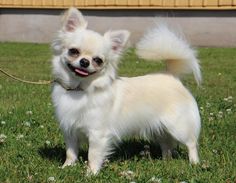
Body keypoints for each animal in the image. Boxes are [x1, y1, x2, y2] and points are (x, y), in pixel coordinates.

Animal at [51, 7, 201, 175]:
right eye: (73, 51)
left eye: (98, 60)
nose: (84, 62)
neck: (80, 89)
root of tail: (171, 76)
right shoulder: (69, 131)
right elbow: (71, 152)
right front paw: (67, 167)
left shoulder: (97, 134)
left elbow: (93, 155)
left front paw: (91, 173)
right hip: (159, 129)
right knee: (167, 144)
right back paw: (166, 161)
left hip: (178, 127)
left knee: (191, 143)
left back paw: (194, 163)